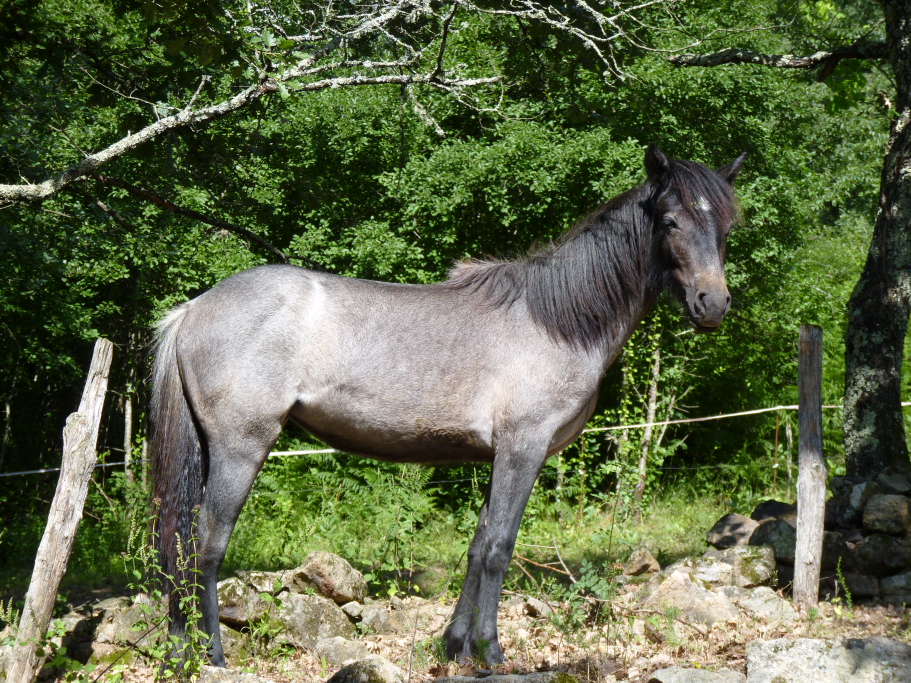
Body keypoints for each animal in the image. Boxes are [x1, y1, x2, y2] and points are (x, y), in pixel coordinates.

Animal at [151, 146, 748, 668]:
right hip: (240, 447)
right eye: (669, 221)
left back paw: (179, 651)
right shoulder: (522, 451)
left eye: (726, 226)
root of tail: (193, 310)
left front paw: (457, 648)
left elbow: (477, 546)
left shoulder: (498, 459)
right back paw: (212, 655)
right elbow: (499, 548)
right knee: (205, 544)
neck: (557, 321)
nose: (712, 304)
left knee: (177, 543)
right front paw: (492, 652)